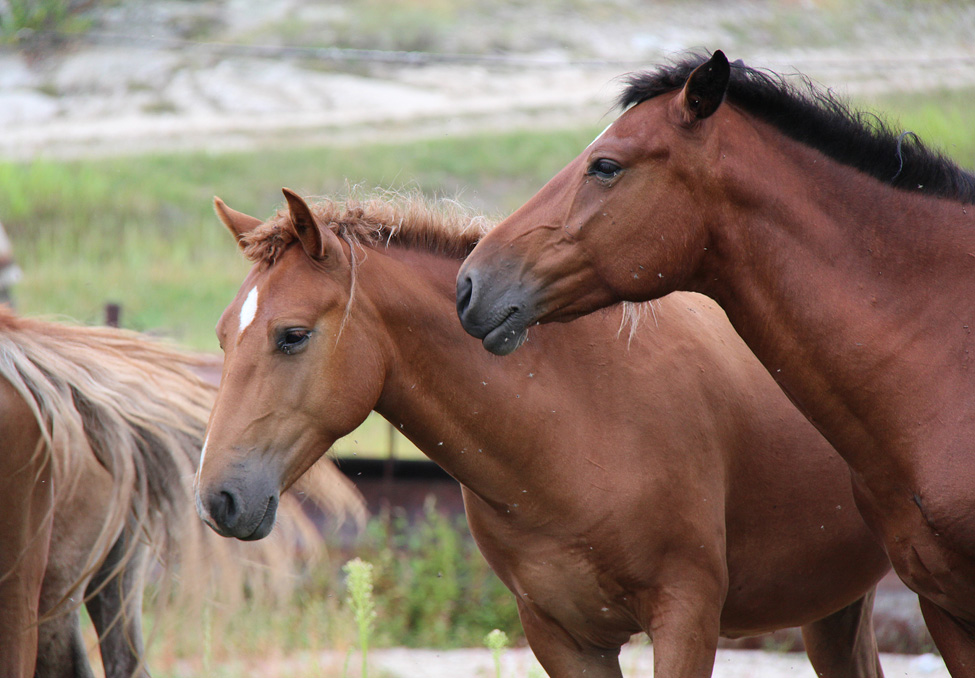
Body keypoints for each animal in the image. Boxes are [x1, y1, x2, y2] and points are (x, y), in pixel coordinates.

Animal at [196, 190, 892, 678]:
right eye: (223, 335)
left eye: (292, 335)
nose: (217, 499)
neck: (576, 426)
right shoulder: (563, 638)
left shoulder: (687, 618)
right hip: (835, 605)